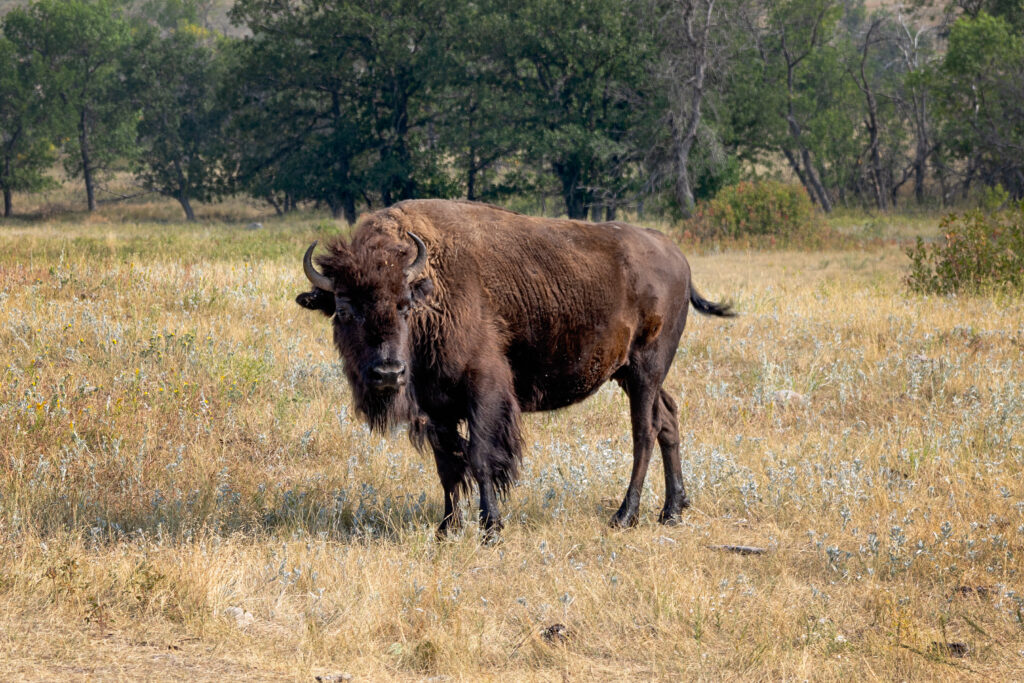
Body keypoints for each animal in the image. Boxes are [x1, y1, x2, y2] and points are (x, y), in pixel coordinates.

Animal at [299, 197, 737, 540]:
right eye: (343, 309)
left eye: (405, 305)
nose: (387, 373)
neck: (433, 291)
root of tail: (676, 255)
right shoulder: (436, 408)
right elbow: (448, 466)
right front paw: (446, 529)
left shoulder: (485, 390)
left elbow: (479, 457)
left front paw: (491, 529)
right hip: (629, 373)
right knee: (668, 419)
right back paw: (672, 511)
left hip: (646, 367)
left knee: (644, 432)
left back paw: (625, 516)